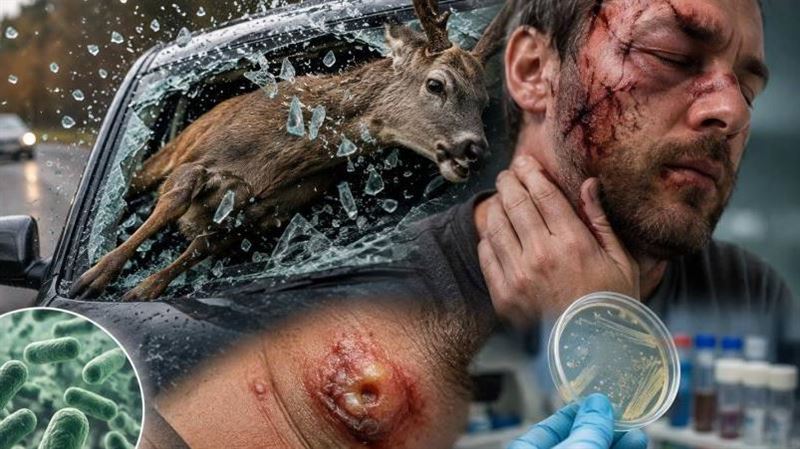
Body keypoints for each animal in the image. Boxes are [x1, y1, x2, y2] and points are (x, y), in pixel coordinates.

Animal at [69, 0, 513, 302]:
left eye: (483, 103)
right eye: (436, 84)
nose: (474, 149)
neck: (279, 158)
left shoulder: (270, 211)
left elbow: (202, 246)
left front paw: (143, 289)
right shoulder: (199, 160)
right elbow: (174, 203)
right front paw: (92, 279)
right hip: (165, 154)